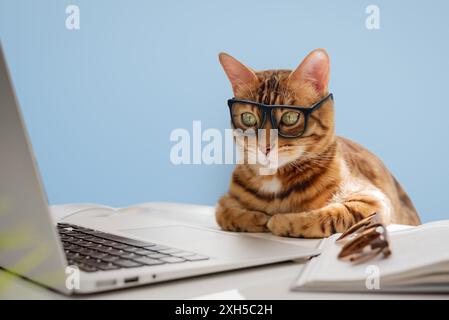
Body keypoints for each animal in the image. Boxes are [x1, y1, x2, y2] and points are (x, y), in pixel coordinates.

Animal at [215, 48, 418, 238]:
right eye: (248, 118)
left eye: (290, 117)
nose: (264, 147)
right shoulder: (224, 201)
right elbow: (226, 214)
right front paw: (255, 218)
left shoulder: (373, 200)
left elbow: (332, 215)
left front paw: (281, 221)